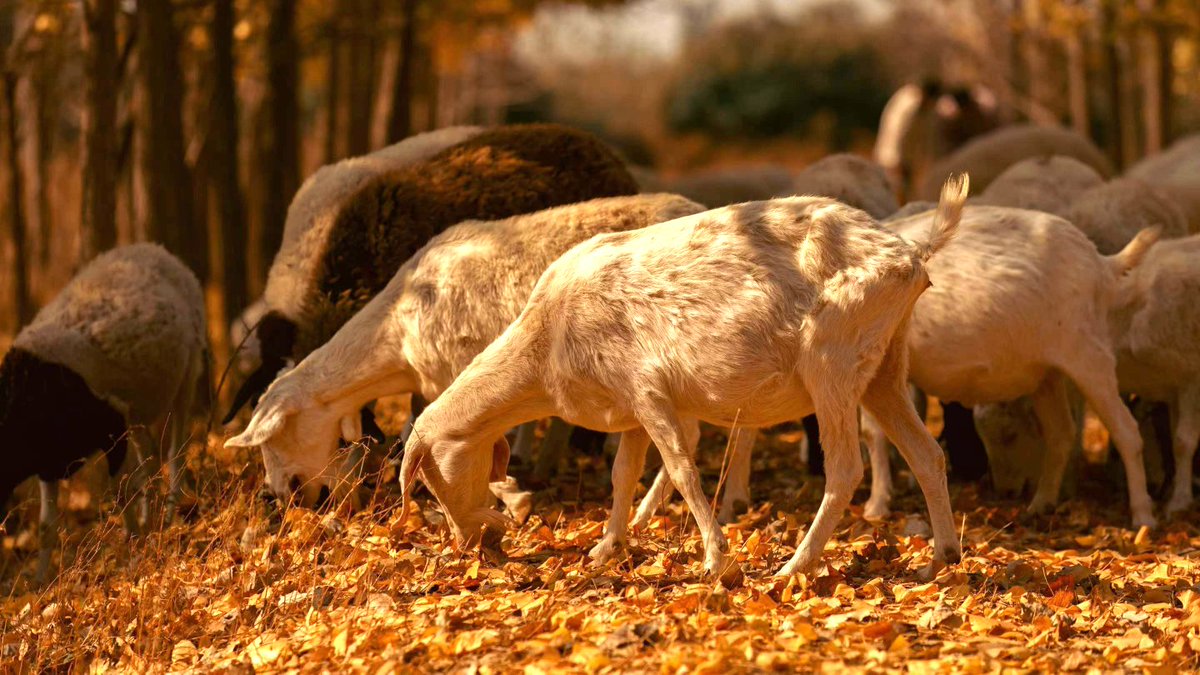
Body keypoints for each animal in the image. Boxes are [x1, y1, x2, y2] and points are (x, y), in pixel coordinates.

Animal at [0, 244, 206, 580]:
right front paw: (41, 582)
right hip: (138, 410)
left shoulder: (111, 426)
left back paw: (170, 518)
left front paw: (133, 549)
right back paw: (152, 518)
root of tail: (157, 250)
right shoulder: (49, 461)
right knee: (150, 457)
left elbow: (121, 494)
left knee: (175, 454)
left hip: (187, 377)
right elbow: (46, 527)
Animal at [394, 177, 971, 579]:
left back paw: (795, 567)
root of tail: (912, 254)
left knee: (846, 469)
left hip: (831, 359)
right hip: (885, 364)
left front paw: (718, 561)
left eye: (430, 477)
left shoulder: (647, 391)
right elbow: (622, 475)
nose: (472, 544)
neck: (545, 346)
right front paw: (607, 547)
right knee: (927, 454)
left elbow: (682, 468)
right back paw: (940, 559)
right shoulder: (626, 408)